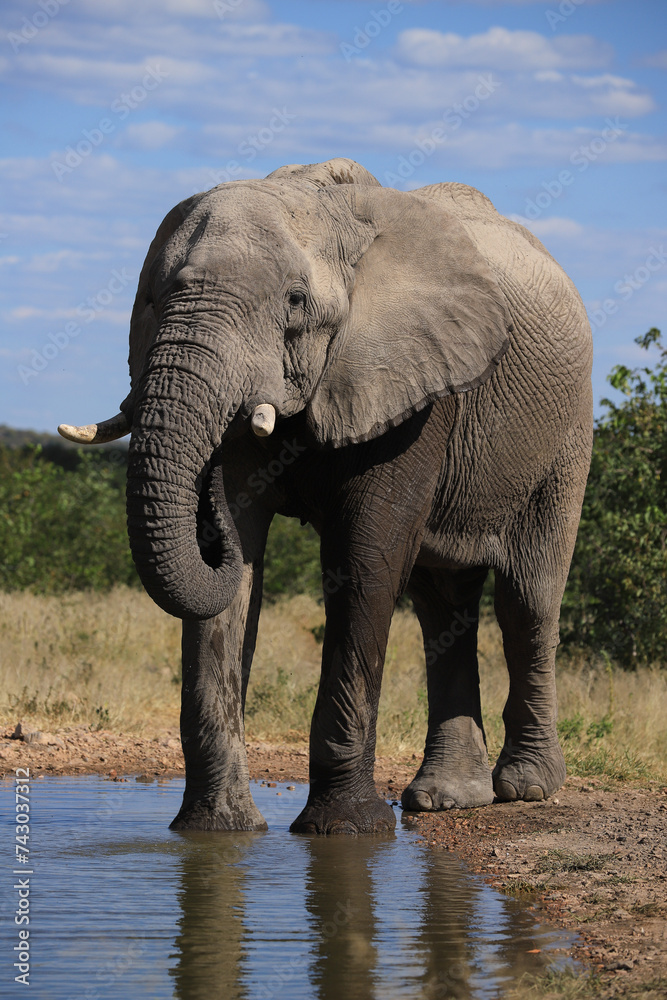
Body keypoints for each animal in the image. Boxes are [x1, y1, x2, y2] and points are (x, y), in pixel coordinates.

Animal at [59, 157, 593, 835]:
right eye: (153, 297)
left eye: (294, 301)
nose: (210, 502)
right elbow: (233, 587)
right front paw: (217, 831)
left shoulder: (412, 388)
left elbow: (365, 562)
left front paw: (346, 830)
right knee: (442, 606)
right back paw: (443, 799)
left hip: (566, 438)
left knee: (527, 599)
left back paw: (527, 788)